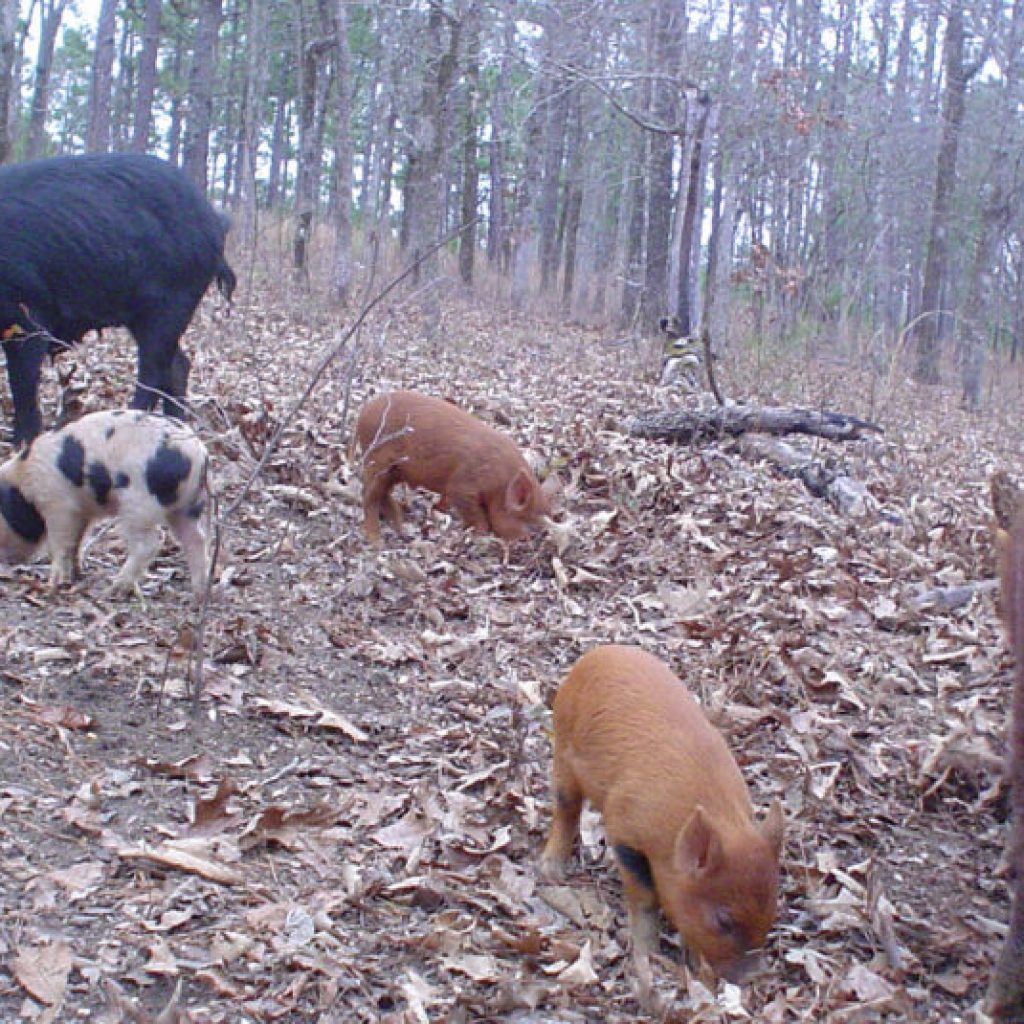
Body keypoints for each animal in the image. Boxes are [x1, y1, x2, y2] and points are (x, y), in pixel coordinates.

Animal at [0, 153, 236, 444]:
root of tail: (216, 219)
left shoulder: (29, 315)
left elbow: (22, 386)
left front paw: (22, 444)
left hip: (170, 305)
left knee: (153, 373)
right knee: (178, 366)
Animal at [0, 410, 210, 597]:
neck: (24, 482)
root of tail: (197, 453)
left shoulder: (58, 504)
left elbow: (59, 543)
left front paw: (52, 585)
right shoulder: (82, 510)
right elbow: (76, 540)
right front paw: (76, 574)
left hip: (139, 503)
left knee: (150, 543)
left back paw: (111, 590)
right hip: (189, 506)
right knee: (197, 539)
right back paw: (199, 593)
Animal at [353, 389, 550, 545]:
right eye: (525, 519)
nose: (528, 539)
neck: (500, 484)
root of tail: (363, 411)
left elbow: (446, 501)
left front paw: (438, 511)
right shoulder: (463, 485)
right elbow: (474, 513)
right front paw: (480, 536)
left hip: (394, 471)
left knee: (382, 493)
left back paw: (400, 523)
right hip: (377, 461)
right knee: (368, 495)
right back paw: (377, 540)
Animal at [540, 644, 784, 1008]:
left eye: (771, 912)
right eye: (723, 920)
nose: (754, 978)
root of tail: (598, 653)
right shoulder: (625, 830)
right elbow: (645, 896)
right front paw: (648, 953)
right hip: (563, 743)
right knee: (566, 806)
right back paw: (551, 871)